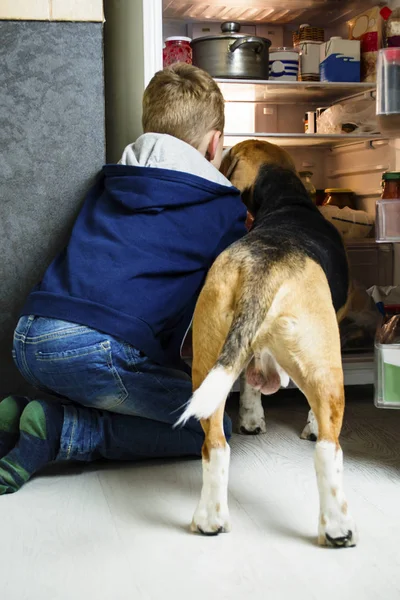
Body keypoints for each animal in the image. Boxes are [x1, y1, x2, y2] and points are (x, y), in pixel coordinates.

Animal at [177, 139, 354, 548]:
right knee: (327, 450)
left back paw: (210, 519)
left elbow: (249, 388)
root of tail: (264, 266)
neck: (288, 201)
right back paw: (337, 527)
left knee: (215, 446)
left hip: (208, 361)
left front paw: (252, 417)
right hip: (325, 369)